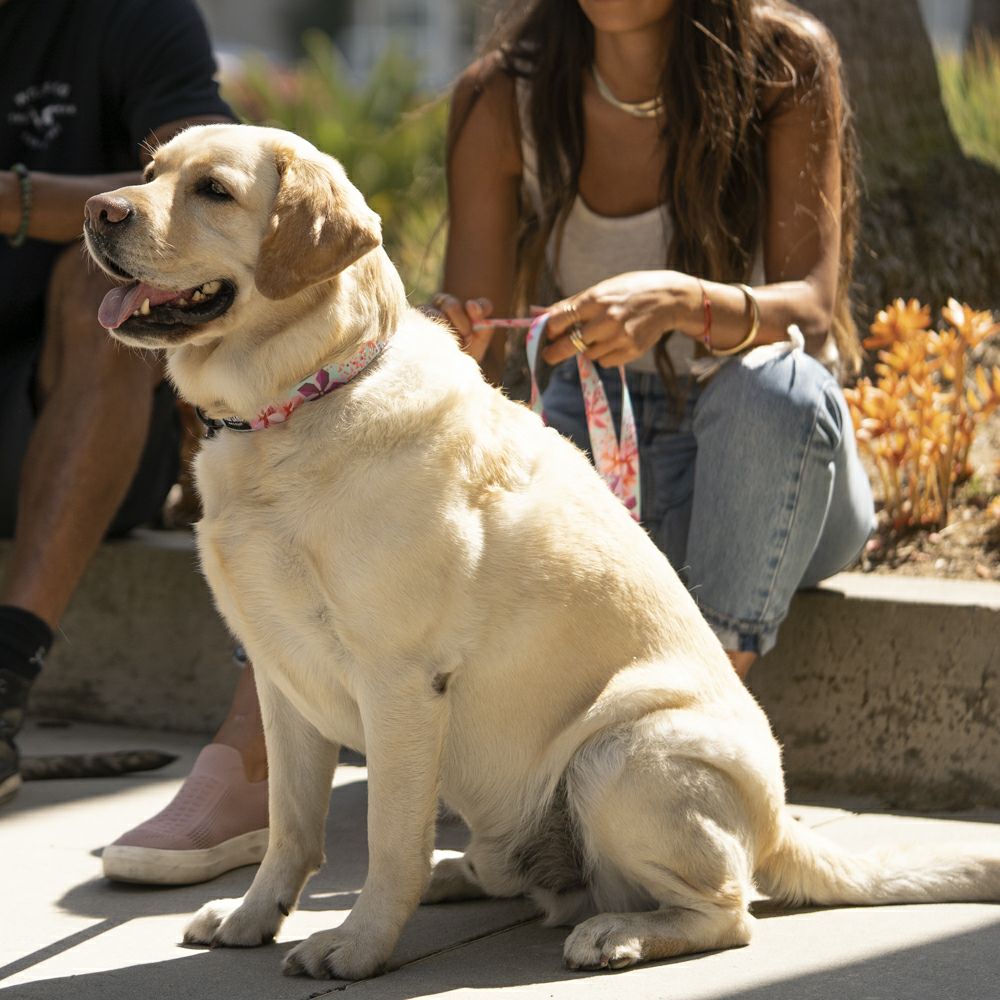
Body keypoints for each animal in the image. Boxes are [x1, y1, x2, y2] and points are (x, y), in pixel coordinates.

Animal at [82, 123, 996, 976]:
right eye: (152, 169)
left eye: (214, 190)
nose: (98, 210)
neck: (298, 403)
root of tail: (778, 825)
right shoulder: (280, 678)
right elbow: (291, 829)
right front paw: (251, 918)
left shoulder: (400, 679)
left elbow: (385, 840)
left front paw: (358, 945)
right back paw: (468, 875)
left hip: (621, 755)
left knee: (727, 912)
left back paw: (617, 931)